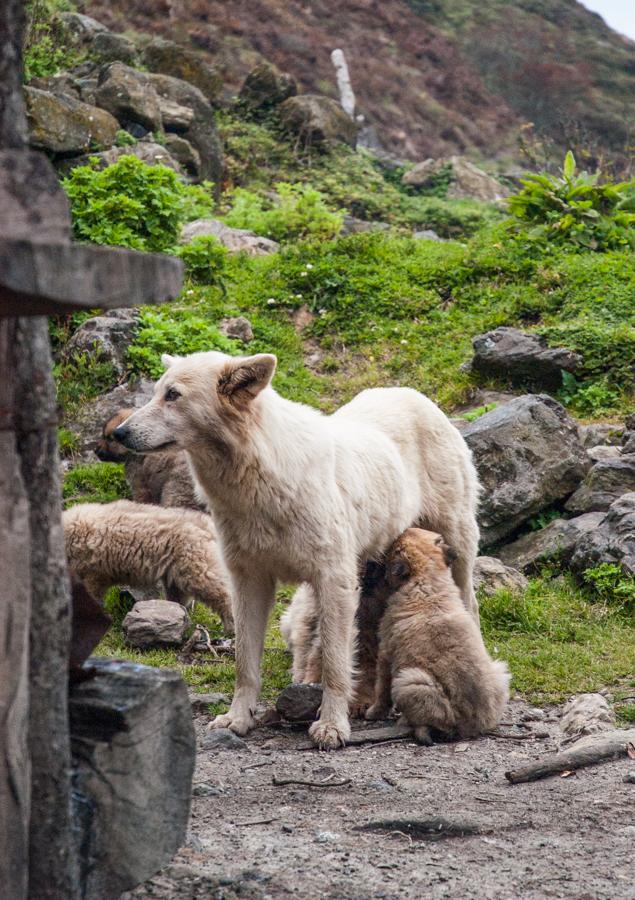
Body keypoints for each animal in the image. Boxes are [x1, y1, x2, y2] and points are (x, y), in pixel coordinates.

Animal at [62, 500, 234, 632]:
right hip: (176, 573)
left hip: (196, 567)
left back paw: (230, 627)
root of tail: (207, 524)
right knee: (180, 597)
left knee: (223, 594)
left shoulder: (93, 574)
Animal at [115, 352, 482, 752]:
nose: (120, 433)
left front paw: (332, 726)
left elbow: (336, 664)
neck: (256, 481)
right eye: (156, 392)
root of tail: (410, 393)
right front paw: (237, 719)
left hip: (457, 544)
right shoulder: (249, 581)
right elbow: (245, 663)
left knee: (470, 604)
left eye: (173, 395)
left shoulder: (334, 579)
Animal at [366, 528, 510, 744]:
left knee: (432, 722)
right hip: (499, 669)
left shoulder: (385, 653)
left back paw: (408, 723)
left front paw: (374, 711)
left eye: (393, 549)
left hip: (409, 681)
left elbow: (381, 689)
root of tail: (472, 725)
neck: (426, 577)